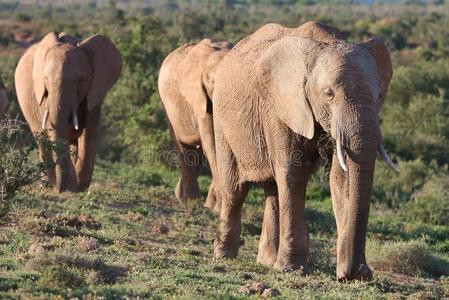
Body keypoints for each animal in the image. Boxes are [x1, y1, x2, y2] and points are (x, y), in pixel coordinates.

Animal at [15, 32, 121, 192]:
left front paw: (79, 187)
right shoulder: (43, 96)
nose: (61, 189)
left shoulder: (94, 92)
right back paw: (48, 184)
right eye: (45, 79)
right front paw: (70, 187)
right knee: (41, 138)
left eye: (81, 80)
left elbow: (89, 132)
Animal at [158, 38, 231, 211]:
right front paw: (217, 209)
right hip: (169, 109)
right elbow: (212, 143)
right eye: (213, 82)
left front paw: (213, 207)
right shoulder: (200, 99)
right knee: (186, 150)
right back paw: (191, 201)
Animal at [212, 21, 398, 282]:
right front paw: (291, 269)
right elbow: (293, 174)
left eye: (378, 95)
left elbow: (341, 178)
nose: (353, 274)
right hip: (221, 119)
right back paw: (225, 256)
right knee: (235, 188)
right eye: (329, 94)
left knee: (273, 190)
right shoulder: (280, 107)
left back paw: (267, 261)